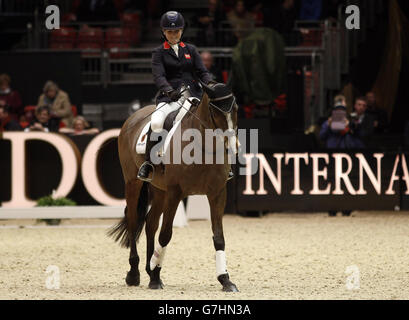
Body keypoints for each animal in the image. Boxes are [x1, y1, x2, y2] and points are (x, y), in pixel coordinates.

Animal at [108, 82, 239, 292]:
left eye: (235, 109)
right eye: (215, 111)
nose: (231, 147)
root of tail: (133, 117)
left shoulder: (217, 193)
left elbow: (219, 237)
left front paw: (225, 280)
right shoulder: (175, 193)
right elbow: (165, 235)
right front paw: (154, 276)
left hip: (159, 191)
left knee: (150, 222)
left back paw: (149, 268)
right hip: (133, 183)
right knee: (134, 221)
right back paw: (135, 274)